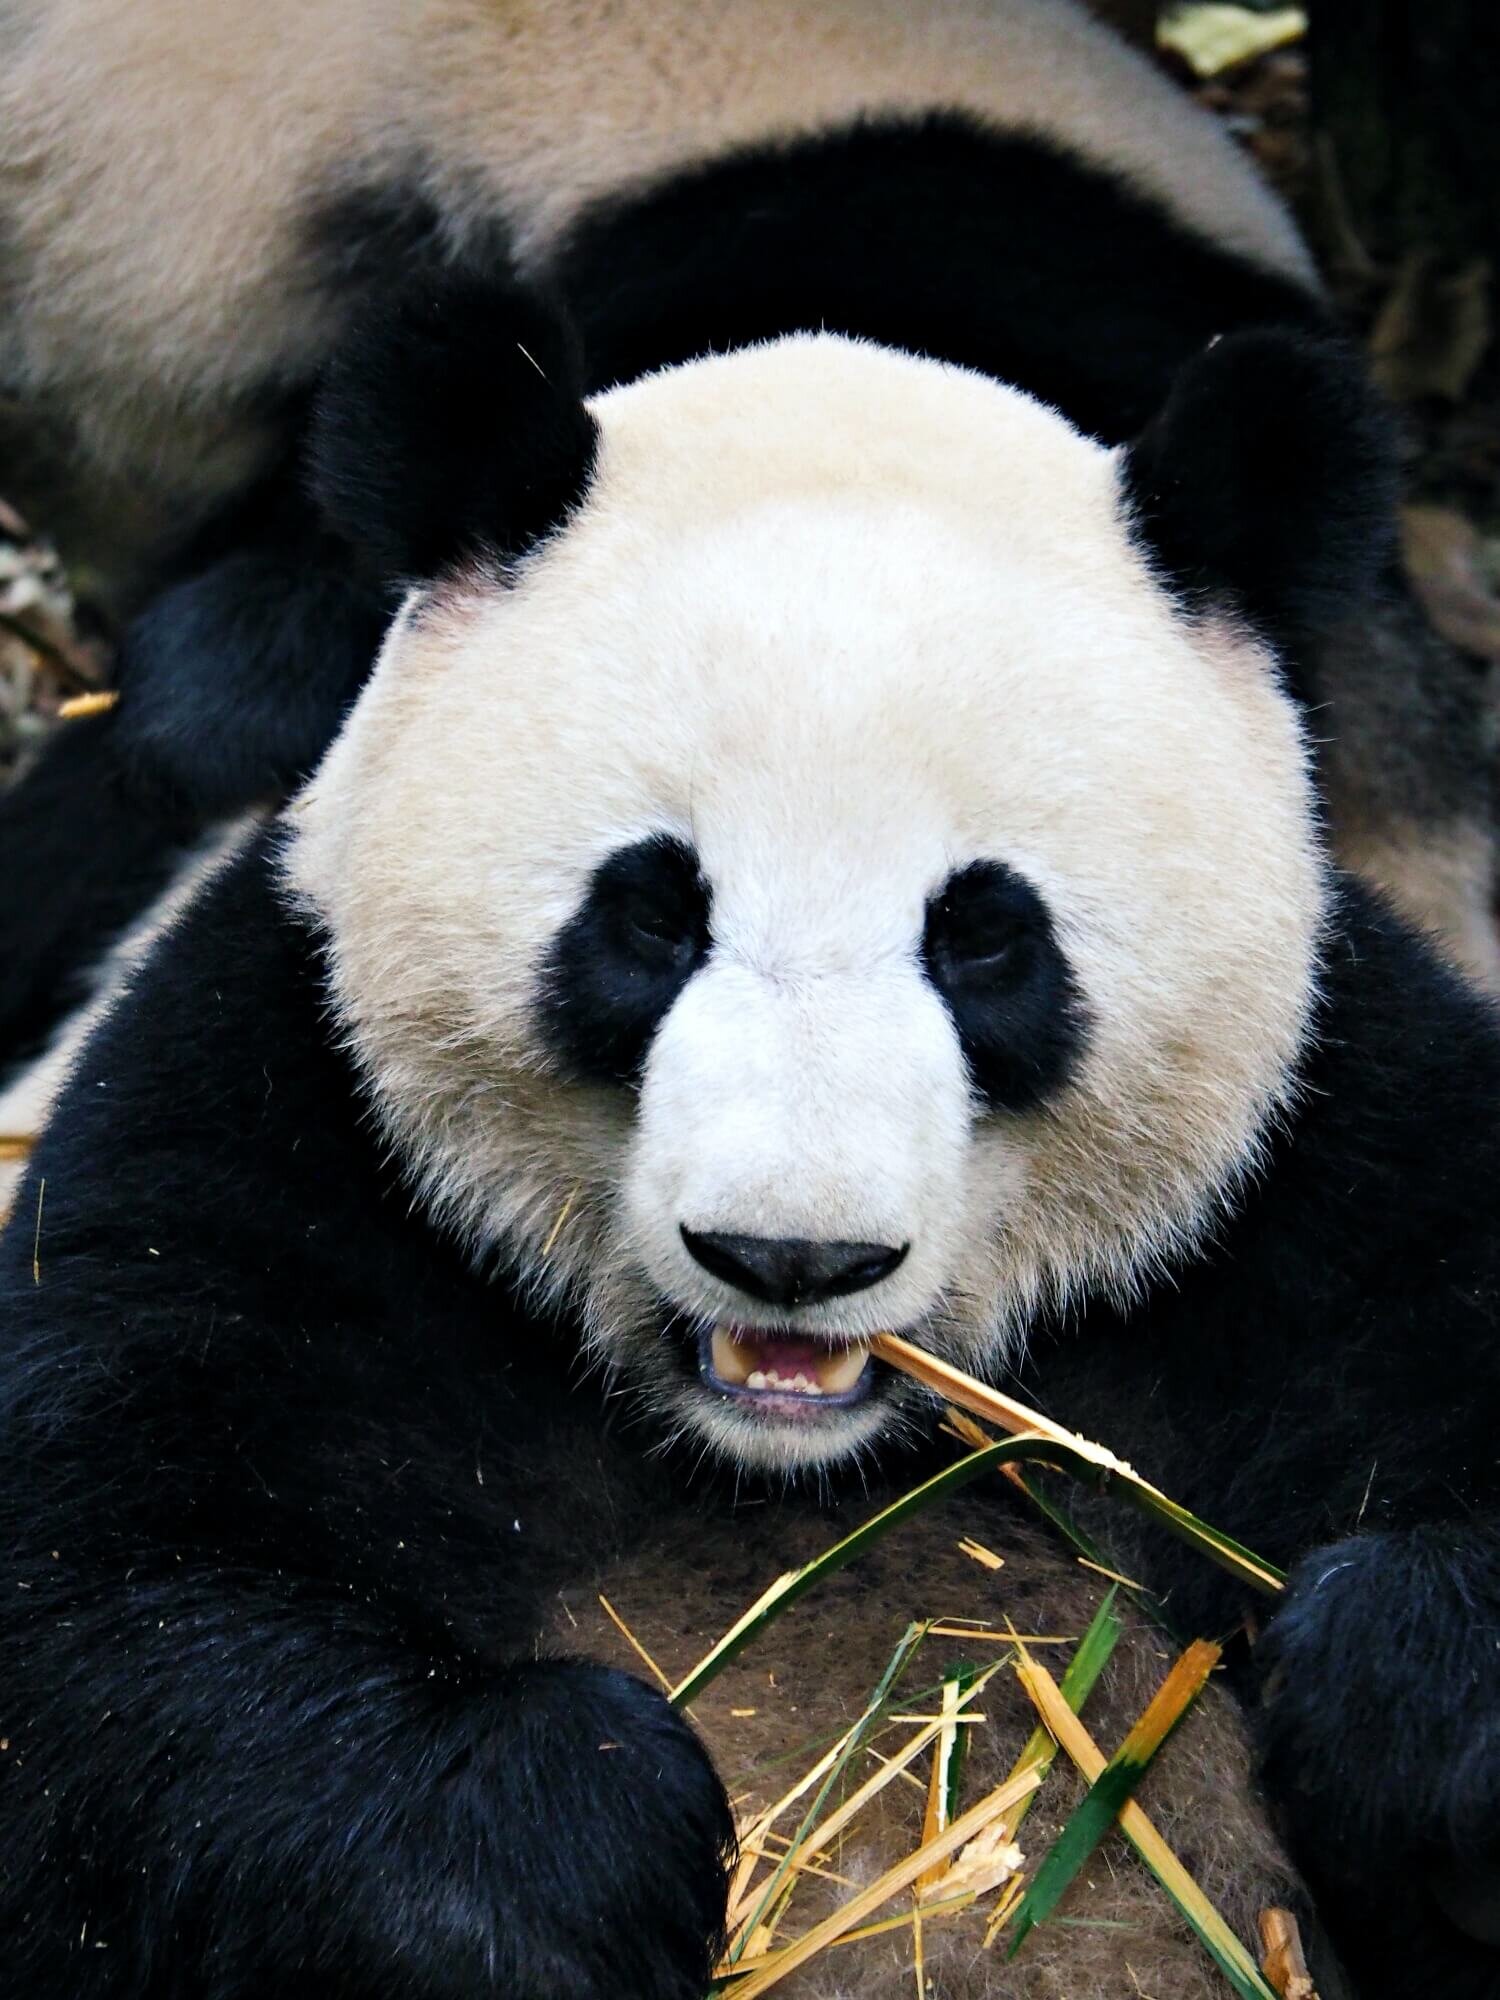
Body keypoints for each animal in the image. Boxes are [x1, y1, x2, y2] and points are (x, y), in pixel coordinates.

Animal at [2, 260, 1499, 1997]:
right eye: (655, 912)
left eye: (984, 938)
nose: (792, 1257)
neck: (792, 1463)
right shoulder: (285, 1117)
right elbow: (115, 1593)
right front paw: (562, 1838)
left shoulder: (1321, 1170)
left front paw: (1398, 1677)